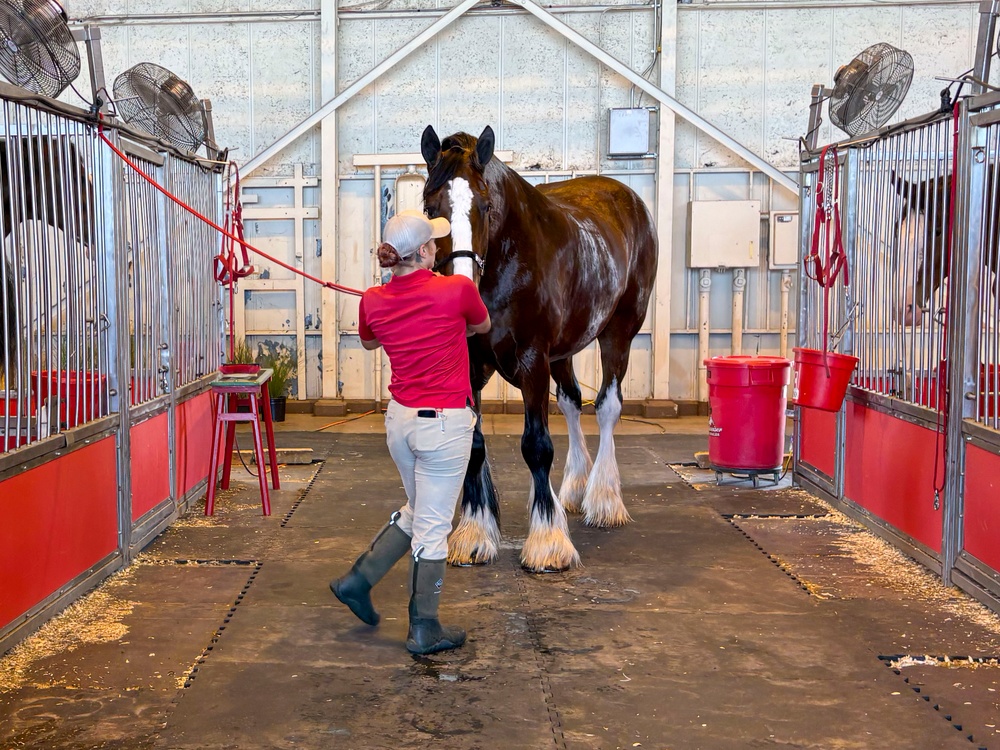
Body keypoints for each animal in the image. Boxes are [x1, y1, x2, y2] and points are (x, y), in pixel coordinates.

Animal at [420, 126, 660, 572]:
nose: (462, 288)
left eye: (486, 206)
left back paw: (603, 499)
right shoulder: (472, 364)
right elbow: (474, 446)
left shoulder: (533, 359)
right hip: (563, 353)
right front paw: (475, 534)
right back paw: (572, 490)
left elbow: (536, 446)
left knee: (607, 406)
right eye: (430, 208)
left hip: (619, 333)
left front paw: (549, 542)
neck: (509, 261)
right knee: (571, 402)